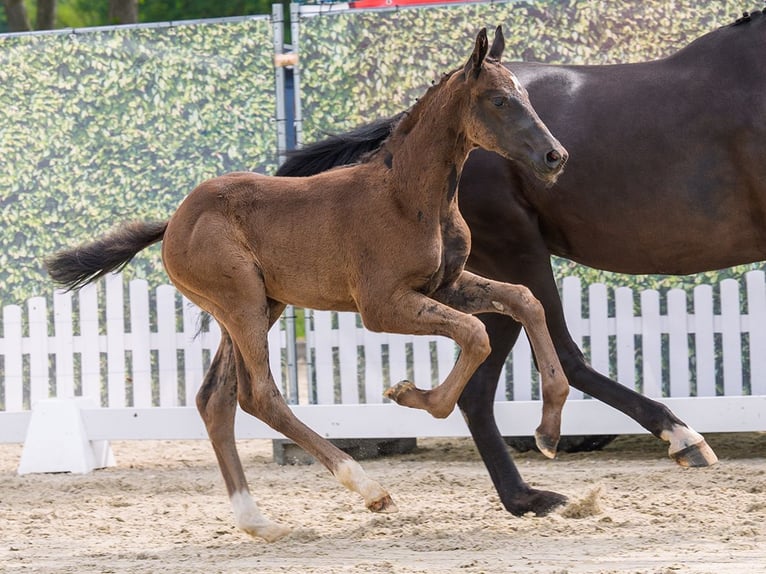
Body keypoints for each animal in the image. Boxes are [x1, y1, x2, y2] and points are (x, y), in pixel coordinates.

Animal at [45, 27, 570, 541]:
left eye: (526, 95)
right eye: (499, 99)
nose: (555, 156)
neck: (408, 196)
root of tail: (173, 222)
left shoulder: (445, 285)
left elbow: (525, 300)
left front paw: (547, 432)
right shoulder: (382, 305)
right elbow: (476, 334)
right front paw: (407, 394)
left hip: (261, 305)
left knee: (215, 399)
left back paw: (258, 522)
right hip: (242, 302)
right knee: (258, 395)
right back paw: (368, 488)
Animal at [255, 9, 766, 517]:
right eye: (500, 101)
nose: (556, 157)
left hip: (491, 273)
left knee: (482, 384)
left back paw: (525, 496)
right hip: (518, 251)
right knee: (560, 355)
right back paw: (673, 436)